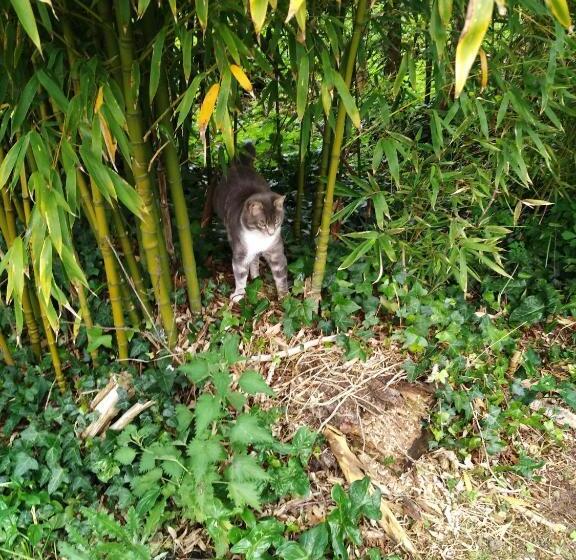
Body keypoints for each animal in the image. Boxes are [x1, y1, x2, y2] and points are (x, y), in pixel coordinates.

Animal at [212, 143, 288, 302]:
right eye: (262, 223)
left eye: (276, 221)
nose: (271, 232)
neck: (259, 239)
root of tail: (242, 165)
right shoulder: (241, 254)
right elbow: (240, 275)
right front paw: (239, 295)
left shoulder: (276, 253)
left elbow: (280, 275)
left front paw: (285, 297)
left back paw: (256, 277)